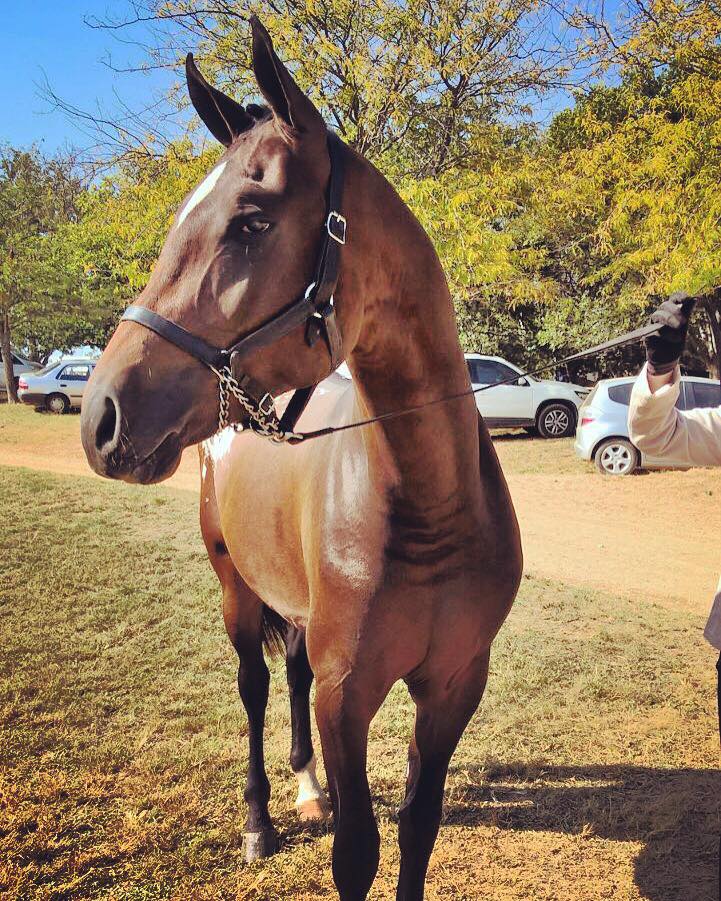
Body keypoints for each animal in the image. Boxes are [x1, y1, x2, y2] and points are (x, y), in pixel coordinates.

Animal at [80, 17, 523, 900]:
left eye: (250, 220)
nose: (100, 417)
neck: (432, 505)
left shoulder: (454, 683)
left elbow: (418, 826)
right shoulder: (347, 694)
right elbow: (357, 850)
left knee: (286, 675)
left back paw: (306, 786)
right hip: (234, 588)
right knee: (254, 688)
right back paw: (259, 819)